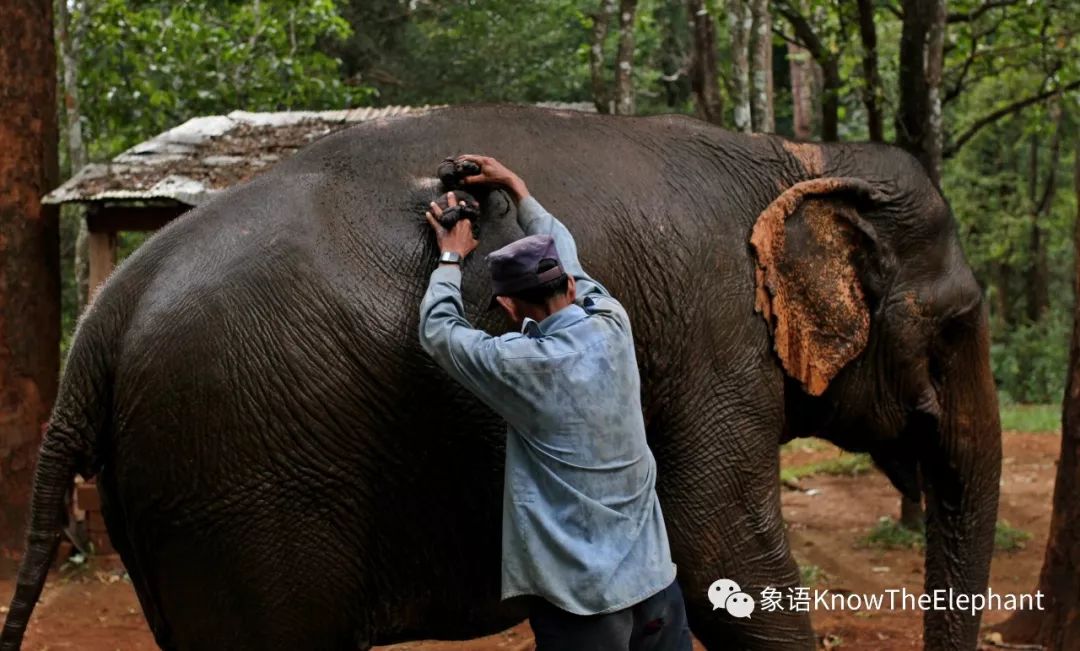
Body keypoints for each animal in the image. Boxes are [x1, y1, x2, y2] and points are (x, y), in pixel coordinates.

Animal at [0, 106, 997, 651]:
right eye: (956, 324)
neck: (798, 154)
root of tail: (101, 325)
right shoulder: (718, 343)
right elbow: (722, 550)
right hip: (239, 479)